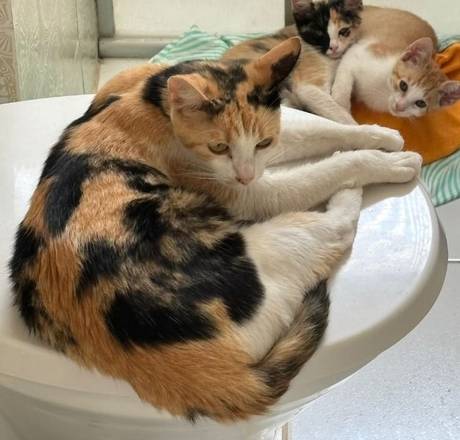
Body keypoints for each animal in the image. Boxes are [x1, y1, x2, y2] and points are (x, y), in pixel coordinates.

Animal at [10, 37, 422, 422]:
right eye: (218, 146)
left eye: (263, 141)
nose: (245, 173)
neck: (153, 98)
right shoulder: (247, 193)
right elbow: (327, 165)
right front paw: (388, 159)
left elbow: (315, 131)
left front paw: (381, 135)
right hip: (272, 243)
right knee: (337, 227)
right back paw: (353, 189)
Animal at [222, 0, 364, 124]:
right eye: (319, 33)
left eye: (343, 31)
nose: (334, 47)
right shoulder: (308, 85)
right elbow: (335, 109)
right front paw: (360, 128)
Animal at [332, 6, 460, 117]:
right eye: (403, 85)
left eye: (421, 103)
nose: (399, 107)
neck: (384, 90)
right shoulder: (360, 51)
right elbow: (344, 77)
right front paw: (342, 109)